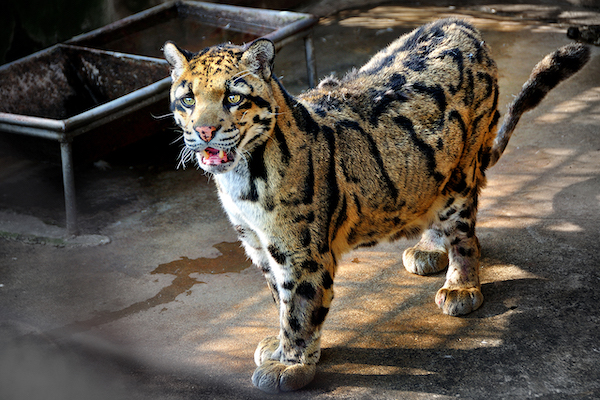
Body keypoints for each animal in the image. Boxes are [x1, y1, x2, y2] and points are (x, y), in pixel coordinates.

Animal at [163, 18, 584, 394]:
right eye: (188, 100)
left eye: (233, 97)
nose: (203, 131)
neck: (240, 178)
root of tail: (462, 24)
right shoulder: (257, 244)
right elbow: (279, 299)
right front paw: (283, 348)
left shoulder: (301, 253)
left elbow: (299, 307)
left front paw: (290, 364)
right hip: (433, 172)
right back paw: (431, 250)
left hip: (462, 172)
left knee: (465, 234)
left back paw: (461, 286)